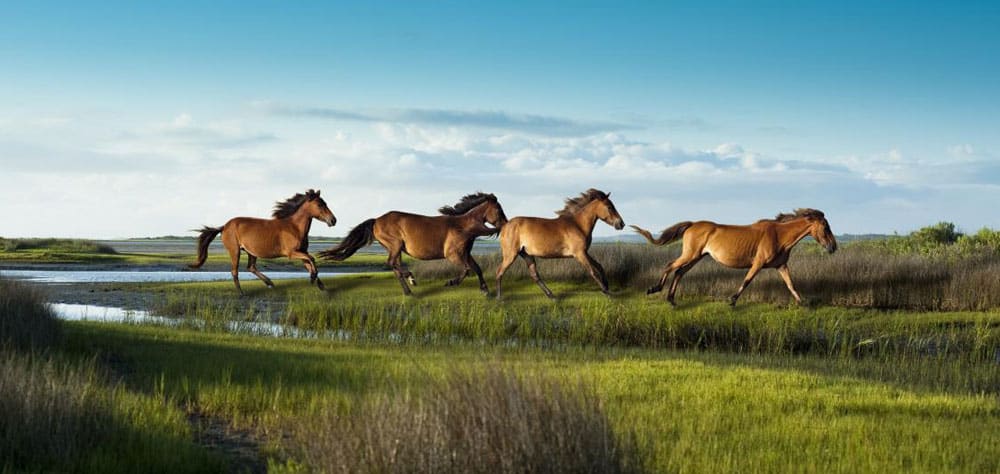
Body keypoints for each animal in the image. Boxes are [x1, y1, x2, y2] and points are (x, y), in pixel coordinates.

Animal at [189, 190, 338, 296]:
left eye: (325, 203)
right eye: (320, 204)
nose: (333, 220)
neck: (294, 227)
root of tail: (224, 226)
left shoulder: (302, 253)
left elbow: (310, 264)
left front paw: (322, 287)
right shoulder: (292, 253)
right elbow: (312, 259)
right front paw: (313, 279)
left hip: (251, 252)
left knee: (251, 267)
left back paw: (270, 283)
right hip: (235, 251)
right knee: (235, 271)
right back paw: (242, 293)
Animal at [320, 191, 508, 294]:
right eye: (499, 209)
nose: (505, 224)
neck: (463, 227)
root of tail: (376, 220)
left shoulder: (466, 254)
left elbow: (477, 269)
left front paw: (485, 290)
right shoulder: (453, 255)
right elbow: (468, 269)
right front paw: (451, 282)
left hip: (397, 249)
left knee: (396, 267)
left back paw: (408, 288)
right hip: (395, 245)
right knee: (391, 264)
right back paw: (411, 279)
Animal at [494, 187, 624, 298]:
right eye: (609, 206)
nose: (621, 224)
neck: (578, 225)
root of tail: (505, 225)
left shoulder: (584, 252)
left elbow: (599, 266)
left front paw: (606, 287)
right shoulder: (580, 254)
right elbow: (593, 272)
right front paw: (607, 292)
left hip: (527, 255)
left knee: (535, 275)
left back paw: (551, 295)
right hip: (510, 254)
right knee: (499, 271)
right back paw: (499, 298)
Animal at [632, 208, 836, 308]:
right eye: (825, 227)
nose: (833, 247)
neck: (779, 235)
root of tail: (692, 224)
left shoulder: (781, 266)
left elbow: (791, 284)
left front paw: (802, 304)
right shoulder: (758, 263)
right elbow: (746, 281)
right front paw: (732, 300)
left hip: (697, 257)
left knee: (679, 272)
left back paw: (672, 300)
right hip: (691, 254)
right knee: (670, 266)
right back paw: (654, 289)